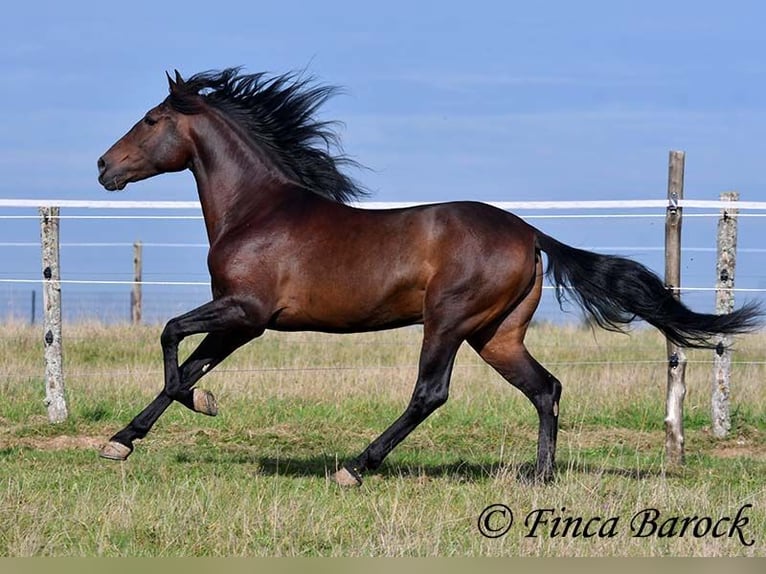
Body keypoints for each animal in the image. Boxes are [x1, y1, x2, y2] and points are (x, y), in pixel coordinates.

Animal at [97, 68, 761, 486]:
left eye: (151, 119)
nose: (104, 166)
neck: (258, 209)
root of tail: (530, 234)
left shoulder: (248, 313)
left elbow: (171, 340)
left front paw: (189, 409)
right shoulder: (240, 321)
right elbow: (187, 365)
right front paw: (125, 438)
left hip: (447, 321)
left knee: (430, 393)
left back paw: (357, 467)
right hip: (496, 335)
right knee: (545, 388)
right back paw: (540, 478)